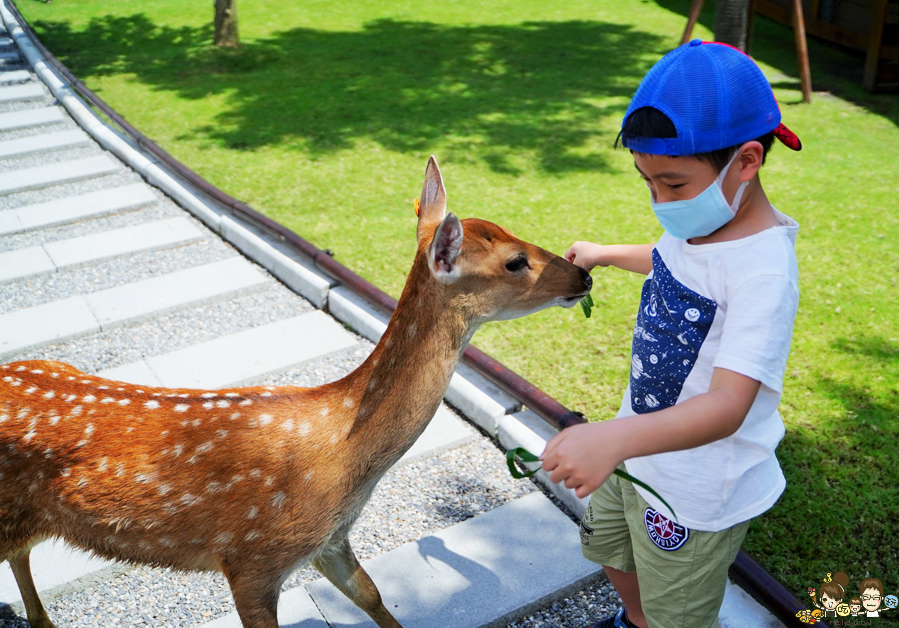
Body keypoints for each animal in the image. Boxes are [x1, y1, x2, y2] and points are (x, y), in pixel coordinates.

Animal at [1, 157, 596, 628]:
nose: (584, 277)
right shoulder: (252, 559)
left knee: (21, 556)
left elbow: (373, 595)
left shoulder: (328, 540)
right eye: (515, 261)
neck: (343, 458)